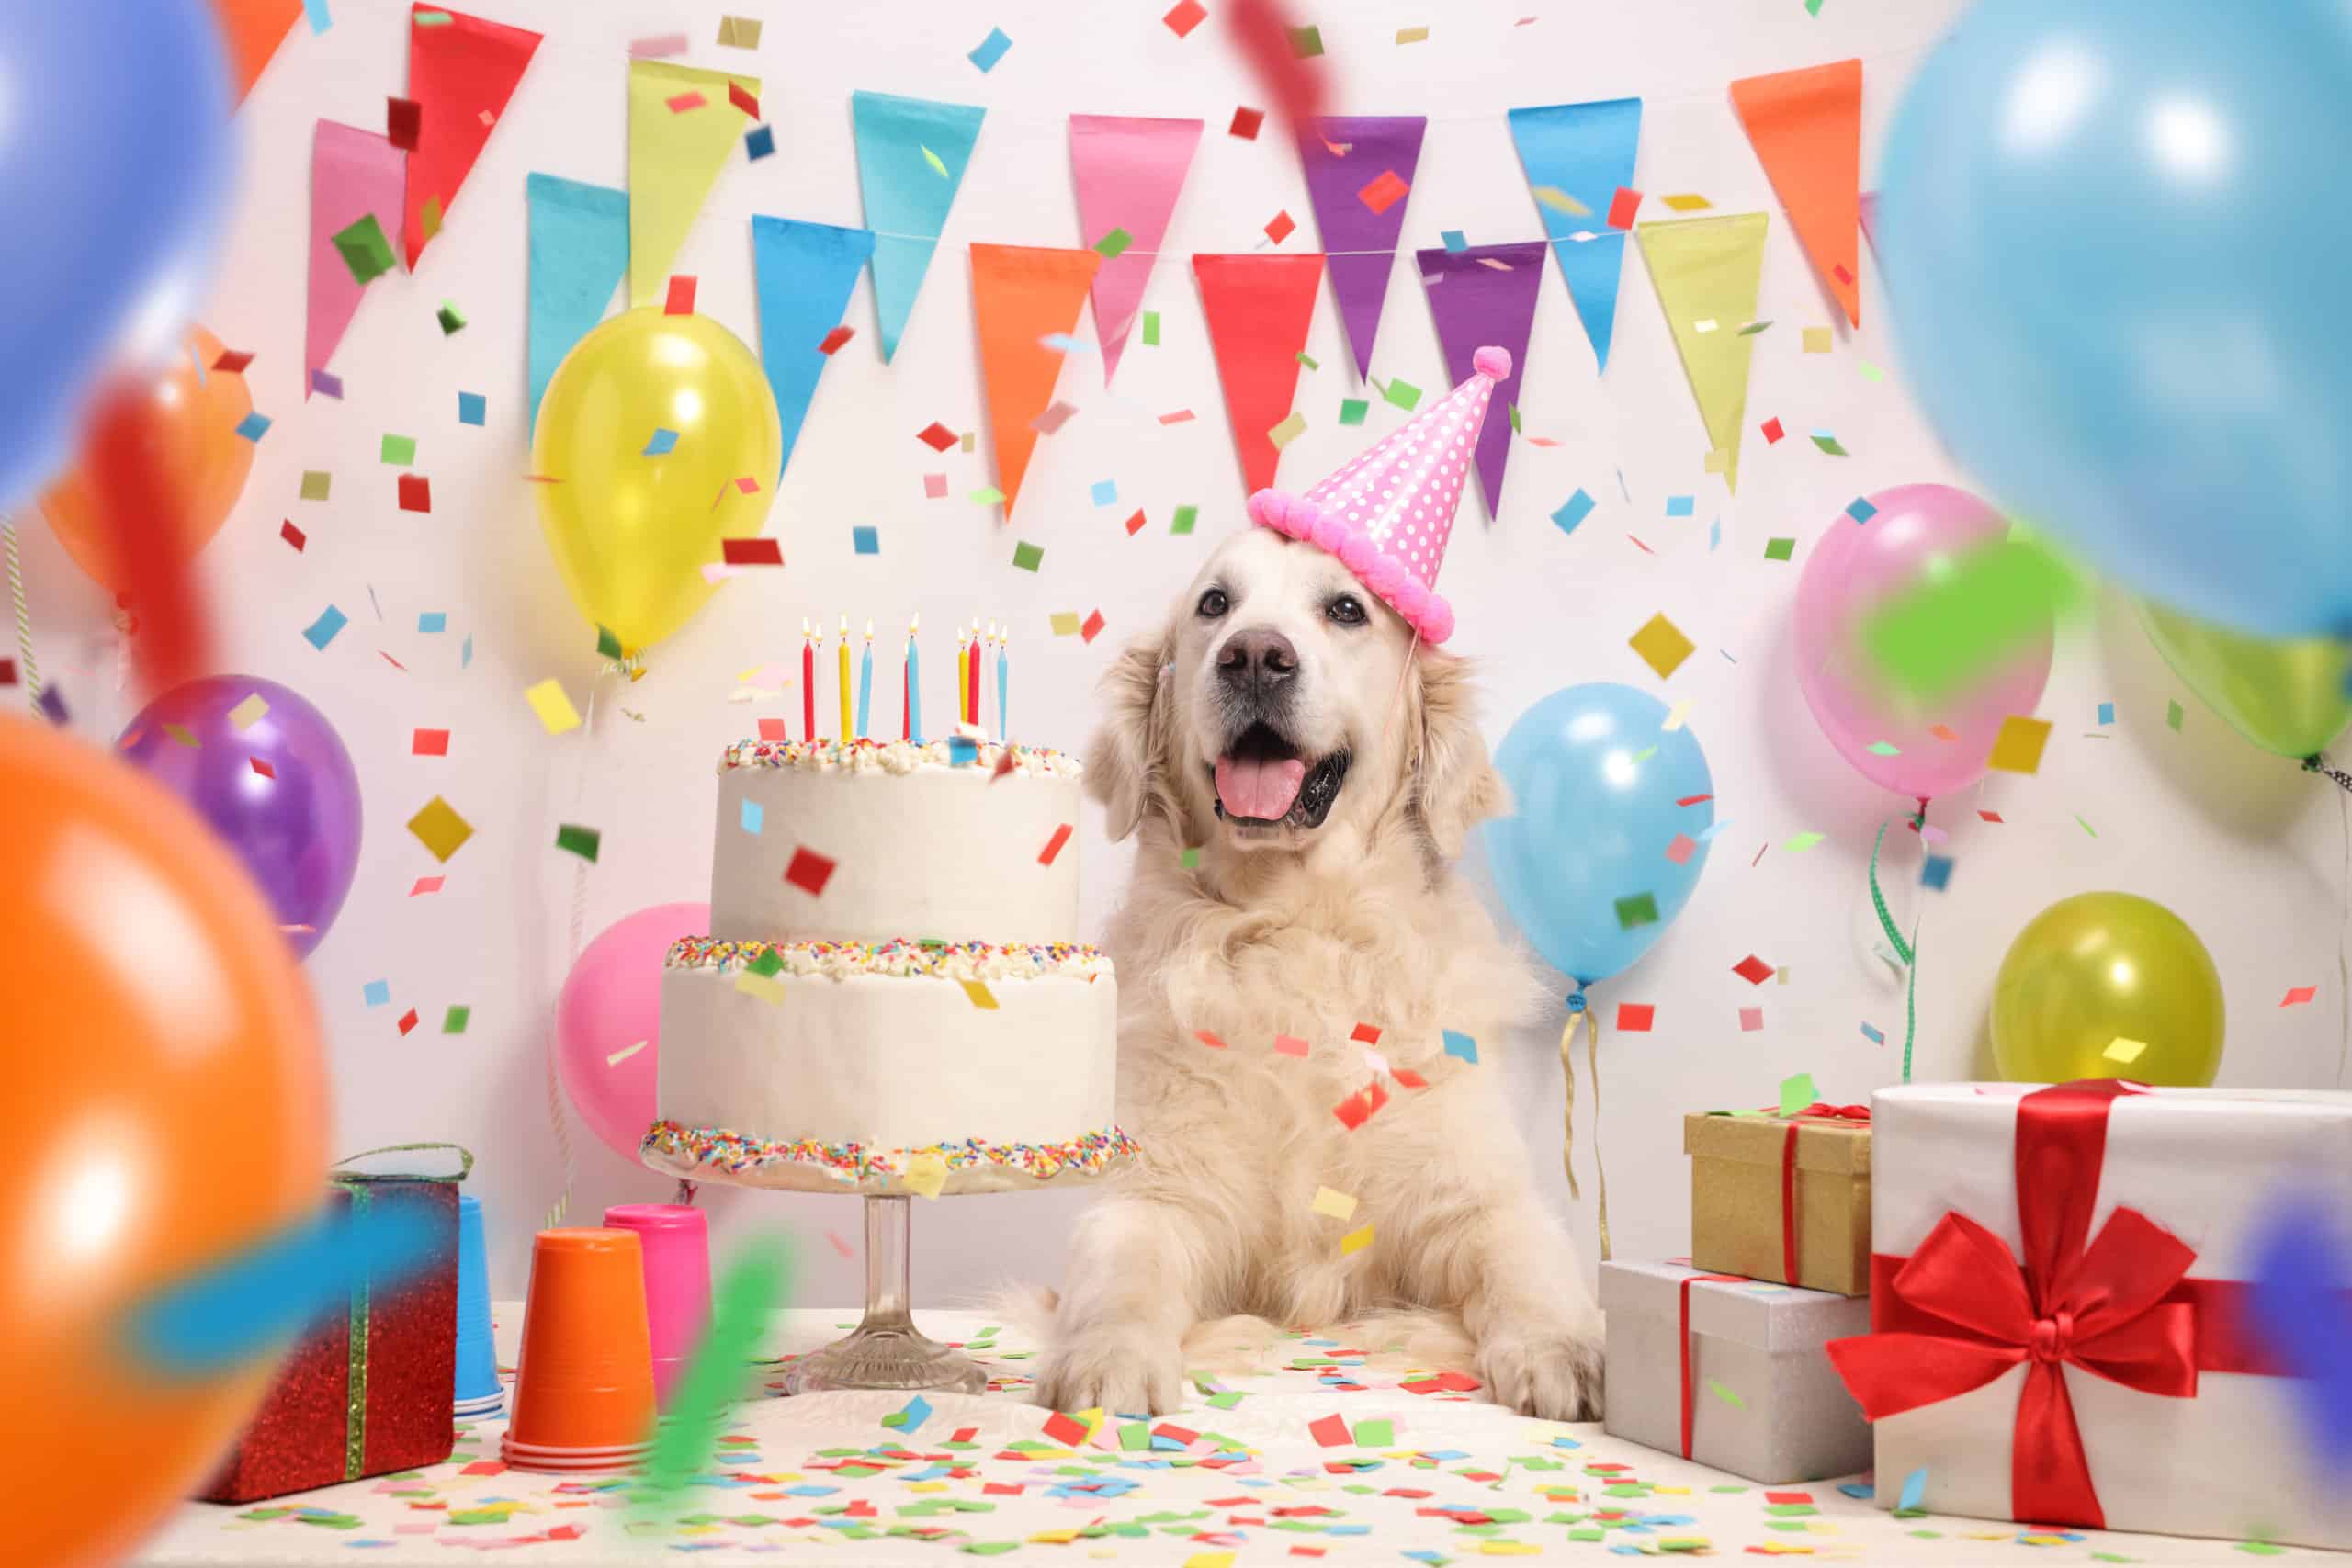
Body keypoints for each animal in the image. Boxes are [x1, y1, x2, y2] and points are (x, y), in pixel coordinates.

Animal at [1039, 526, 1609, 1419]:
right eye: (1214, 604)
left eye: (1346, 608)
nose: (1255, 657)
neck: (1295, 924)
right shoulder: (1160, 1189)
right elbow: (1122, 1267)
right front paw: (1108, 1356)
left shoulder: (1471, 1192)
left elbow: (1526, 1259)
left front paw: (1564, 1351)